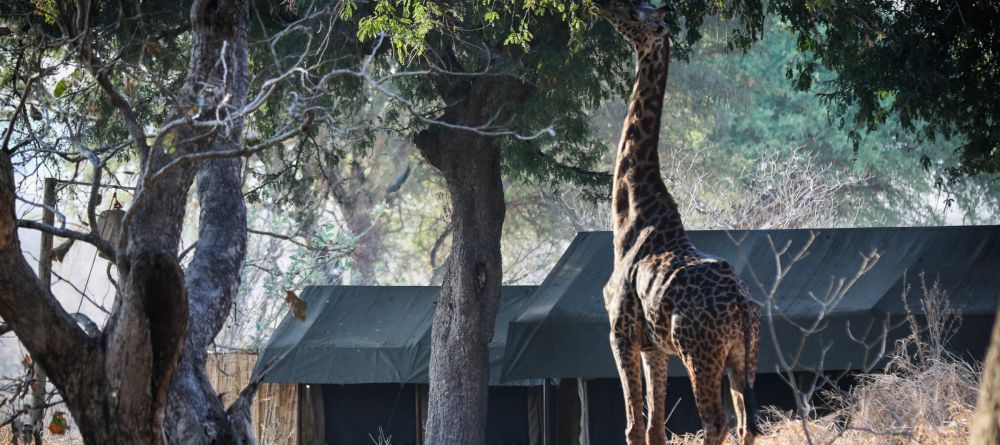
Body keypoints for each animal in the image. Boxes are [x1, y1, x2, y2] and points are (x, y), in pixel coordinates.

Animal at [596, 1, 760, 442]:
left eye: (634, 14)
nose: (602, 7)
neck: (631, 216)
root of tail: (743, 307)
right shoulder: (654, 346)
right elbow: (656, 428)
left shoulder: (620, 334)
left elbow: (634, 428)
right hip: (745, 355)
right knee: (745, 423)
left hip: (699, 353)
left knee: (716, 420)